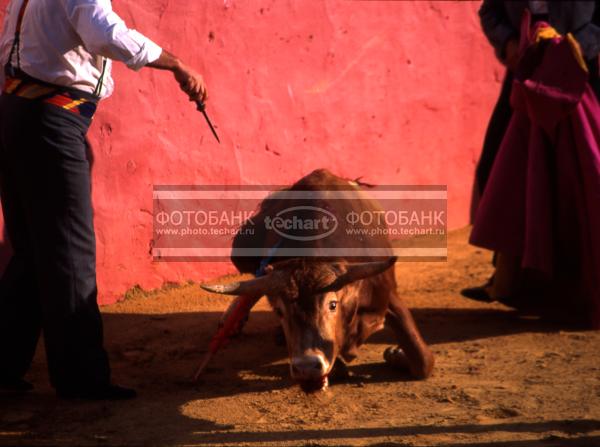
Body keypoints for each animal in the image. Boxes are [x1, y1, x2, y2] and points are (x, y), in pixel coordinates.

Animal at [204, 170, 434, 390]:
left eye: (333, 305)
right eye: (279, 311)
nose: (307, 367)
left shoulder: (387, 295)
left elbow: (423, 361)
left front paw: (396, 353)